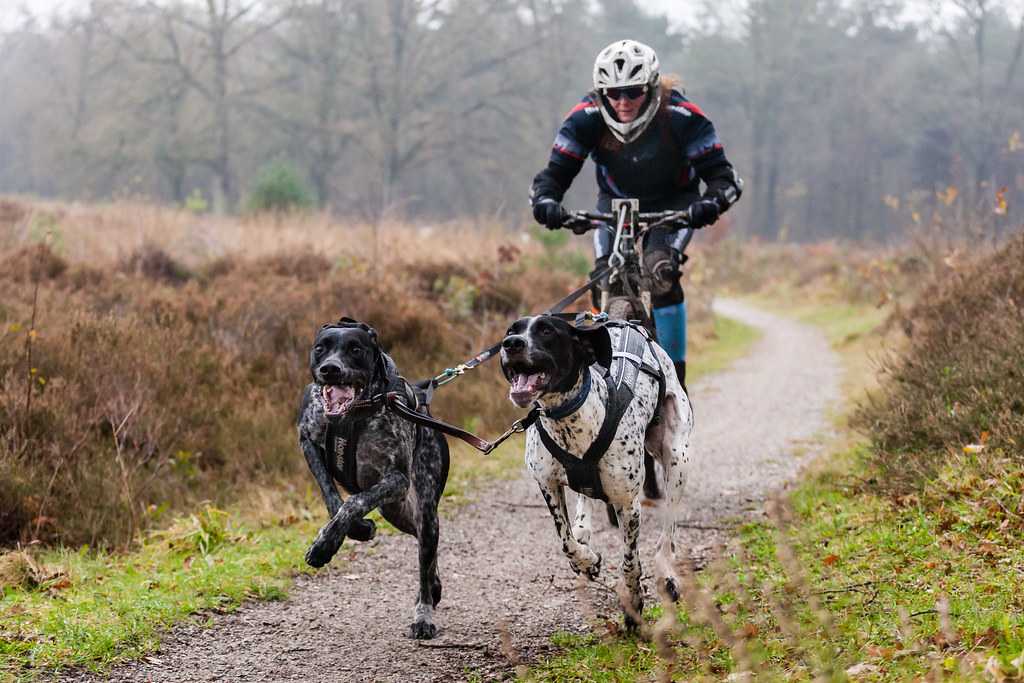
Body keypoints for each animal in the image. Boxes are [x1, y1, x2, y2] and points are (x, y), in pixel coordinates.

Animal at [299, 317, 452, 638]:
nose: (330, 369)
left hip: (424, 510)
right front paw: (352, 531)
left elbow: (354, 501)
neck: (352, 416)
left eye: (355, 349)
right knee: (426, 553)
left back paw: (424, 614)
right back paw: (434, 587)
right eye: (321, 348)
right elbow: (332, 498)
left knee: (425, 560)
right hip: (397, 512)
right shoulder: (308, 441)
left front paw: (324, 547)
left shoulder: (397, 480)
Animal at [497, 315, 692, 630]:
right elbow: (565, 541)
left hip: (677, 458)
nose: (511, 344)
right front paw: (586, 560)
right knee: (583, 502)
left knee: (668, 528)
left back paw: (666, 573)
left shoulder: (628, 504)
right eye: (512, 330)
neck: (569, 421)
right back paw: (583, 528)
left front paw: (633, 602)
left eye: (547, 330)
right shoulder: (547, 484)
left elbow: (629, 563)